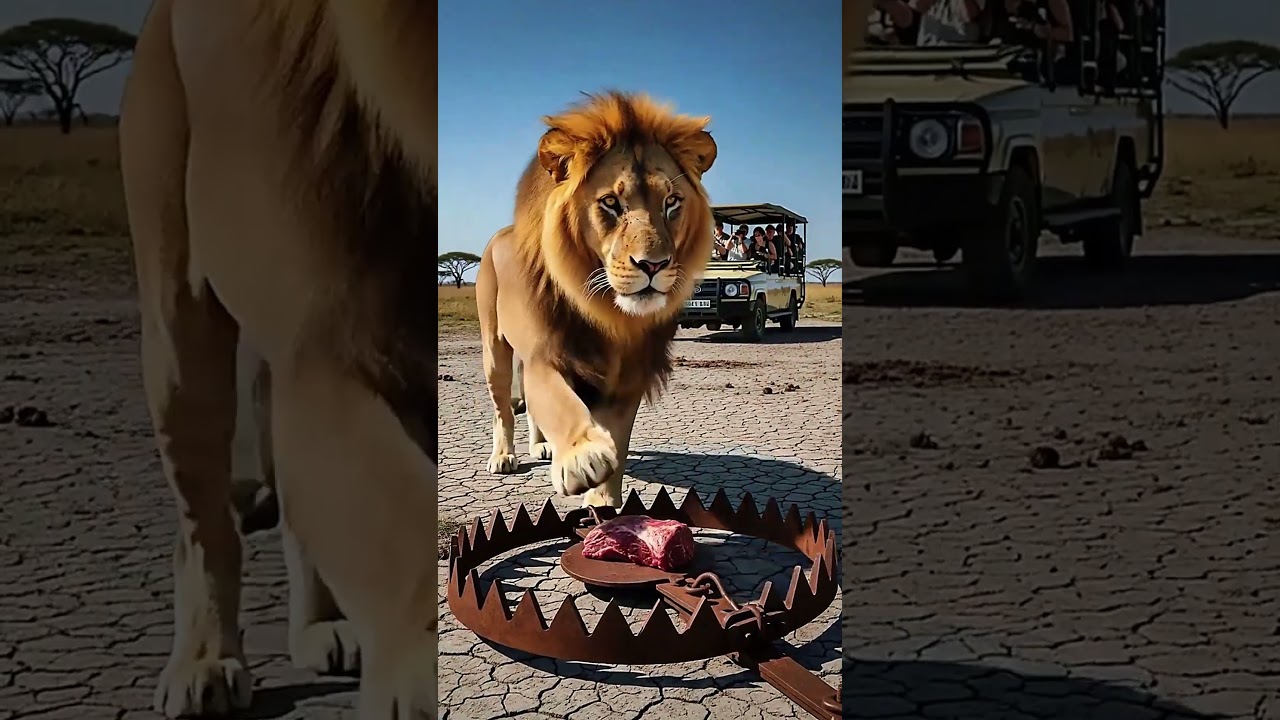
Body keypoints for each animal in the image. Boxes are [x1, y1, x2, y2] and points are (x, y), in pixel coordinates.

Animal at [119, 0, 437, 716]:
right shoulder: (329, 347)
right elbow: (402, 530)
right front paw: (417, 681)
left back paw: (324, 628)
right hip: (176, 325)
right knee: (203, 526)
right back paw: (202, 663)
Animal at [476, 92, 718, 508]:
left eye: (672, 202)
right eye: (610, 203)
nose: (653, 265)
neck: (610, 315)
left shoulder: (629, 377)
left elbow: (619, 437)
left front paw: (603, 501)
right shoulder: (546, 355)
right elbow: (557, 402)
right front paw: (581, 457)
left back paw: (541, 448)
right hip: (495, 348)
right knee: (503, 407)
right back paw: (504, 457)